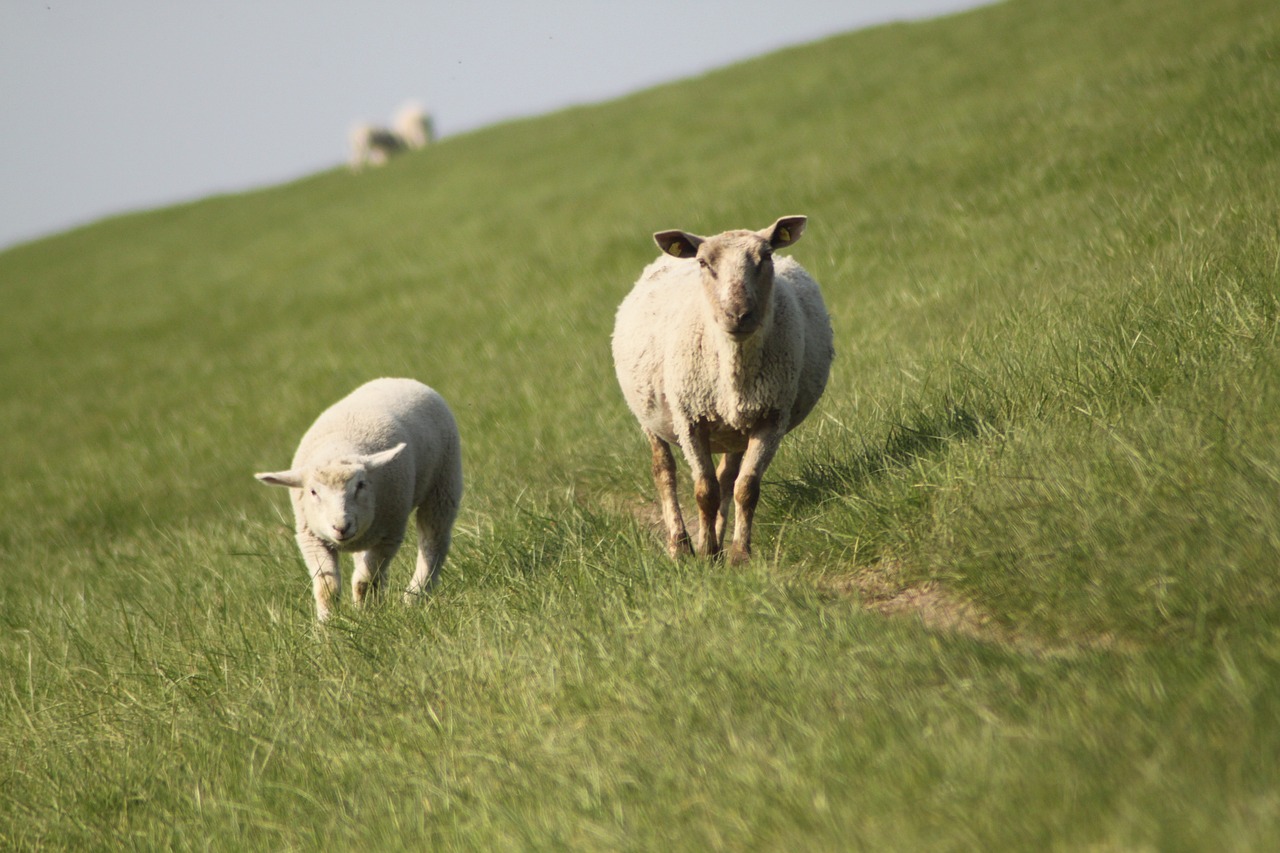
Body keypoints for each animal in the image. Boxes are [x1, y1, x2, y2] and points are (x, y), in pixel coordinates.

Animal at [256, 376, 465, 617]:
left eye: (361, 485)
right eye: (313, 492)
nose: (341, 526)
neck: (338, 448)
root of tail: (398, 379)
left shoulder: (389, 535)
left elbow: (364, 582)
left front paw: (366, 615)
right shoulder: (310, 537)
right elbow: (327, 586)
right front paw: (327, 621)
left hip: (443, 485)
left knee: (433, 542)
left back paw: (414, 596)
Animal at [611, 213, 834, 558]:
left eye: (766, 256)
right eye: (704, 263)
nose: (738, 314)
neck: (734, 370)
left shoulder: (771, 418)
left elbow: (746, 488)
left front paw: (738, 555)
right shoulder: (689, 420)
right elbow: (705, 491)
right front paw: (707, 554)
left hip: (736, 430)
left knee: (727, 478)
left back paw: (713, 539)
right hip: (649, 417)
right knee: (664, 472)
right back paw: (680, 545)